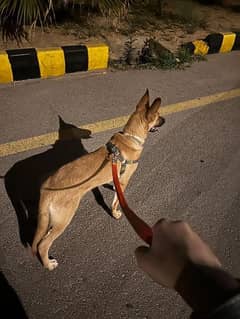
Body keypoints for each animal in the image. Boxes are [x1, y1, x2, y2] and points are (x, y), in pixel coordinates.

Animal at [31, 90, 165, 270]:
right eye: (157, 116)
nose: (165, 120)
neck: (130, 137)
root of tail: (46, 188)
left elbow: (114, 188)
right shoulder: (124, 180)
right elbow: (116, 201)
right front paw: (115, 213)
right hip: (63, 220)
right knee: (43, 245)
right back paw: (48, 264)